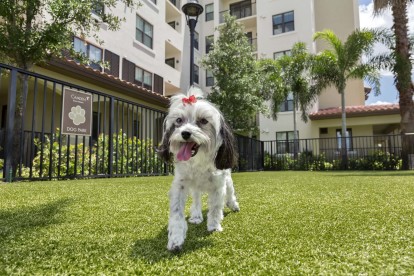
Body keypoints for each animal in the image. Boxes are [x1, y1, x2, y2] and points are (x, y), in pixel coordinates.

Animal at [158, 87, 239, 251]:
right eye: (179, 120)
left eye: (203, 121)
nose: (185, 133)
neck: (198, 161)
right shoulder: (180, 184)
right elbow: (177, 213)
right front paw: (175, 239)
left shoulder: (218, 184)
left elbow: (215, 207)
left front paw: (214, 226)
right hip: (194, 187)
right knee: (196, 200)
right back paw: (196, 216)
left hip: (227, 179)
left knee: (229, 193)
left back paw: (232, 205)